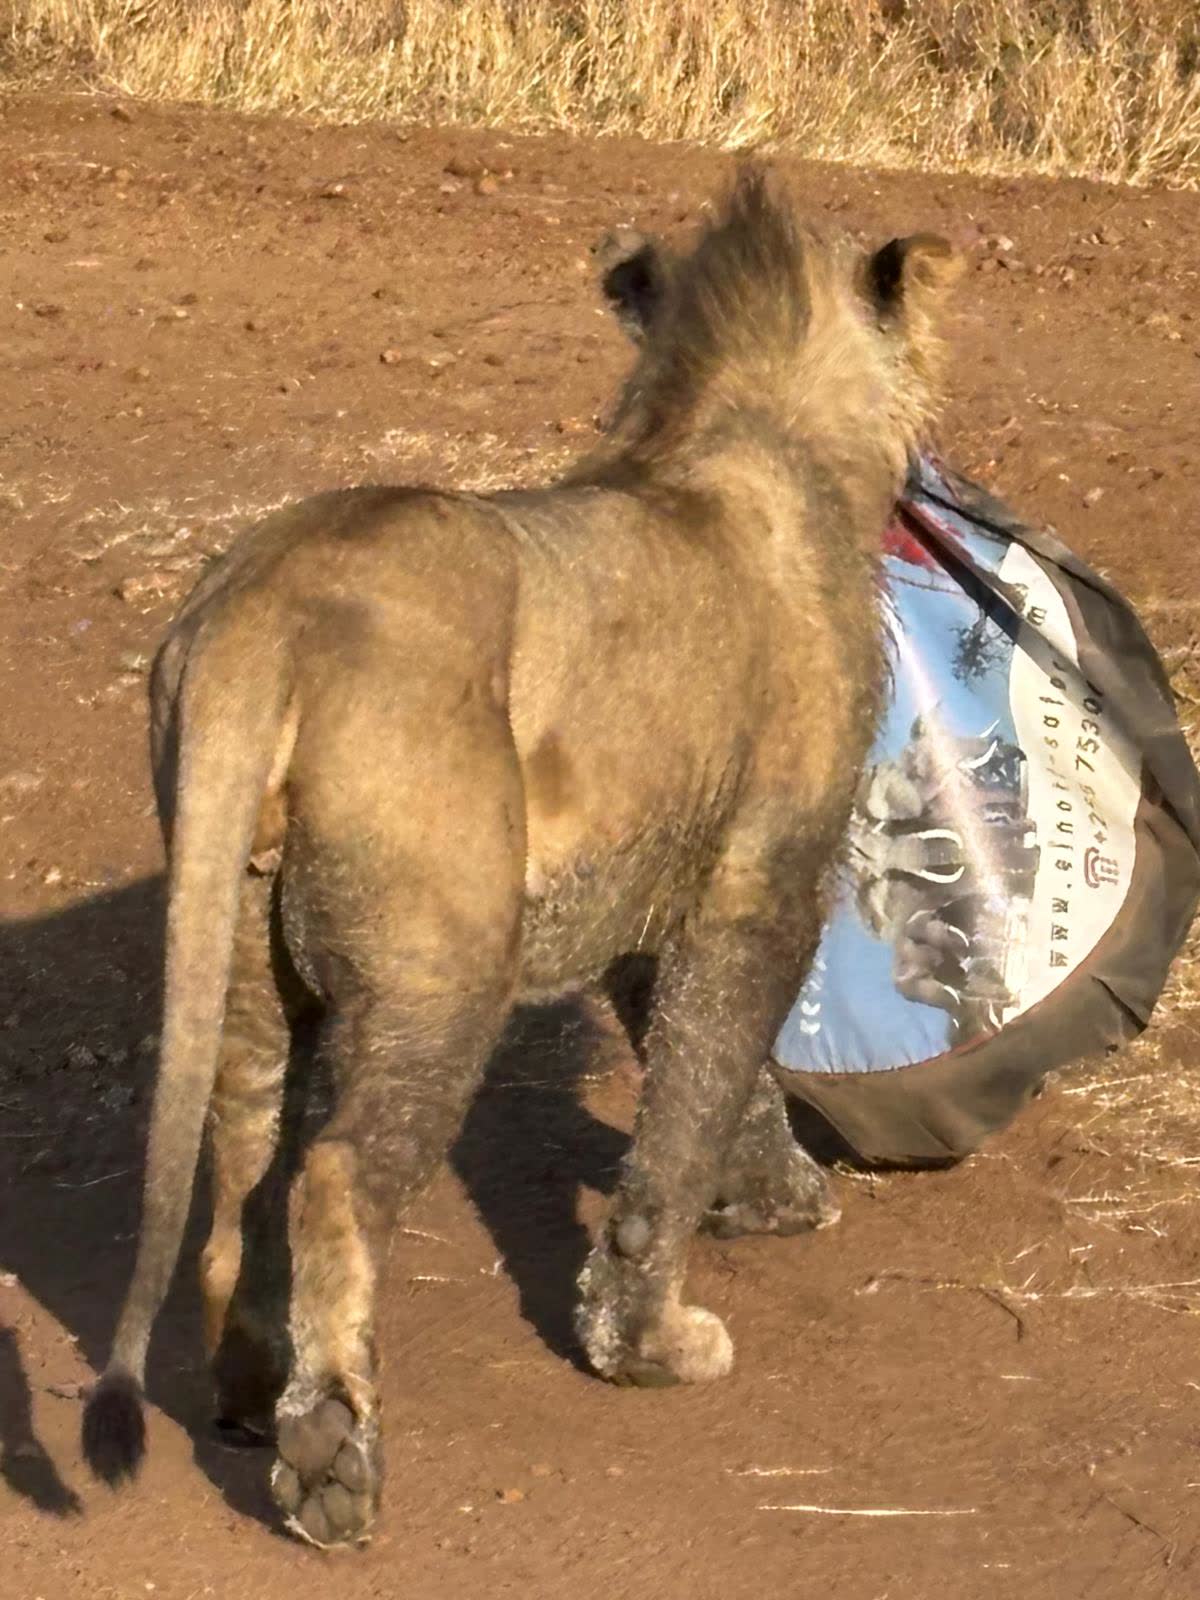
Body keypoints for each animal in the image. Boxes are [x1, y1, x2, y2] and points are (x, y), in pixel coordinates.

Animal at [81, 167, 962, 1548]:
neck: (745, 426)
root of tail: (263, 612)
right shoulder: (761, 879)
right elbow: (701, 1090)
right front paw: (649, 1342)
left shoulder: (659, 889)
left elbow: (716, 1077)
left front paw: (772, 1198)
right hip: (445, 960)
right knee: (332, 1182)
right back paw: (332, 1457)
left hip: (242, 945)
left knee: (242, 1169)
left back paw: (250, 1389)